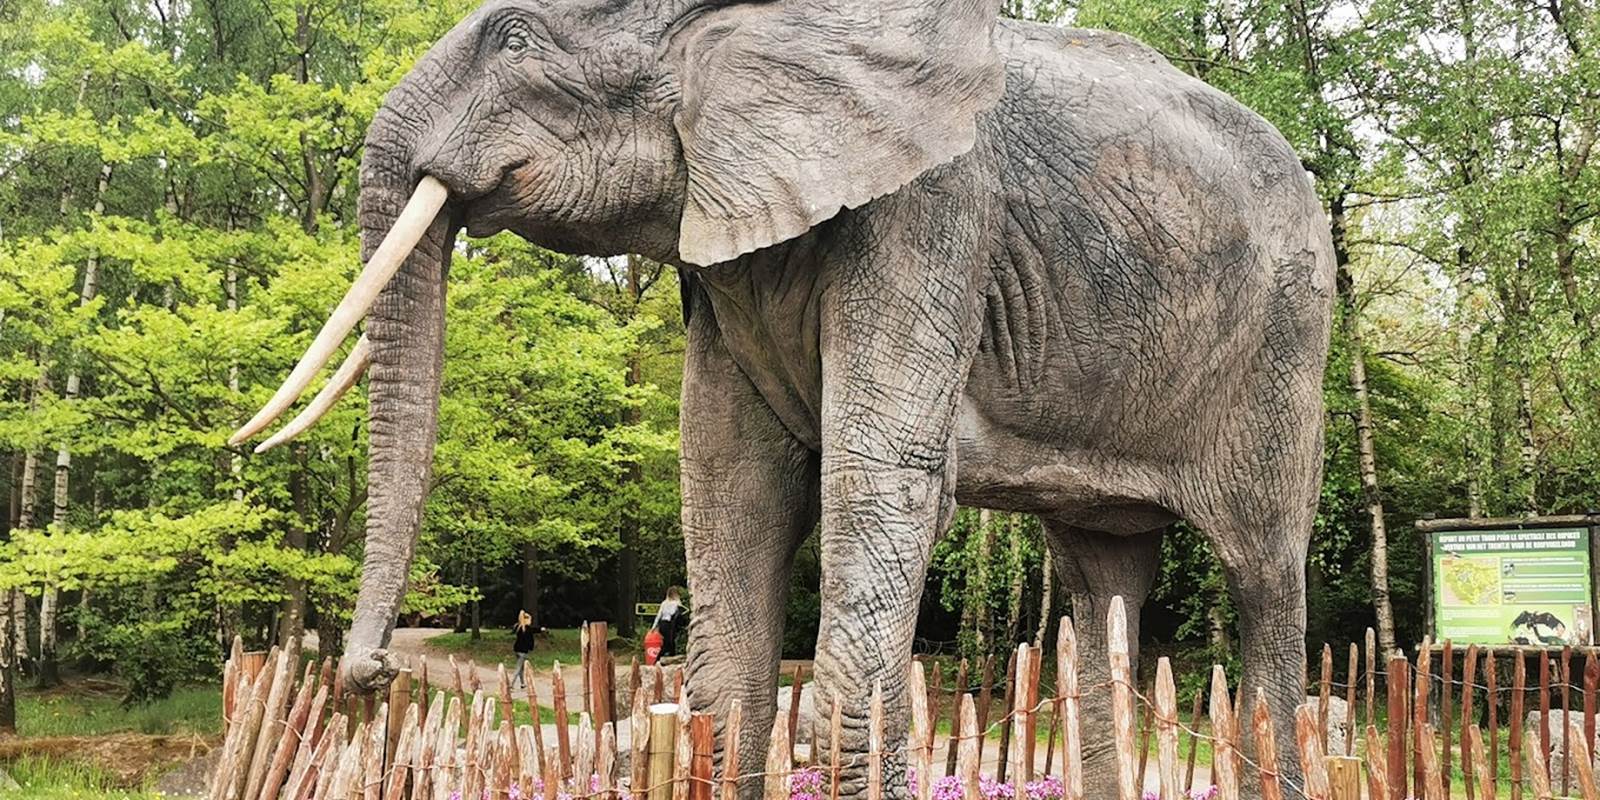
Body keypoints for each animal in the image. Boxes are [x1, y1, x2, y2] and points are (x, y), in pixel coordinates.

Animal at [232, 0, 1337, 793]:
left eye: (515, 36)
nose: (372, 673)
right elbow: (732, 492)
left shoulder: (935, 209)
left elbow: (879, 485)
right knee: (1103, 587)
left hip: (1289, 342)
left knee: (1264, 583)